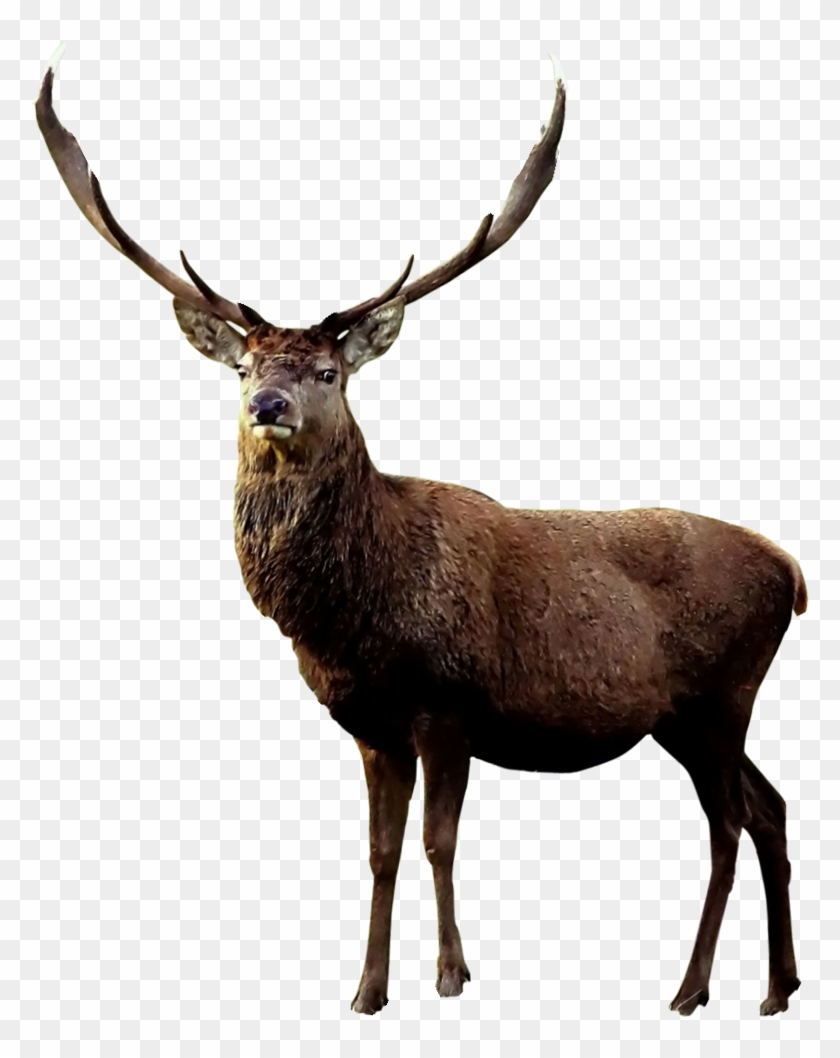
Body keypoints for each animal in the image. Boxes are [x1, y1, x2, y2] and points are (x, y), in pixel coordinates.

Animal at [37, 47, 805, 1019]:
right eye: (245, 365)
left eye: (329, 371)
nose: (268, 405)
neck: (354, 622)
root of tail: (795, 572)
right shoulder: (370, 725)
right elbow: (381, 852)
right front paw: (366, 989)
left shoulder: (450, 701)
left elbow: (440, 842)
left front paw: (450, 975)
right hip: (690, 714)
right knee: (771, 808)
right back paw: (776, 988)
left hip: (720, 694)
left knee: (729, 824)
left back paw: (692, 988)